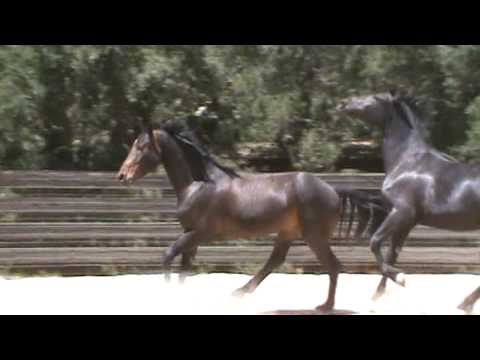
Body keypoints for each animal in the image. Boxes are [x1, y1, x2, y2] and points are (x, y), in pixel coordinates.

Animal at [120, 120, 344, 310]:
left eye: (142, 147)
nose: (122, 175)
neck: (198, 186)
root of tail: (334, 192)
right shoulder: (190, 234)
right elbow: (183, 270)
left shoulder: (199, 233)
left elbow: (167, 256)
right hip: (287, 232)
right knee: (275, 261)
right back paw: (240, 292)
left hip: (313, 236)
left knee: (332, 265)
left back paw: (325, 306)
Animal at [338, 90, 480, 312]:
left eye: (374, 98)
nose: (343, 104)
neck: (406, 161)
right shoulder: (408, 222)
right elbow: (391, 254)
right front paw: (376, 298)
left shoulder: (402, 212)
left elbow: (375, 242)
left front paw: (400, 277)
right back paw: (465, 304)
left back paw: (465, 304)